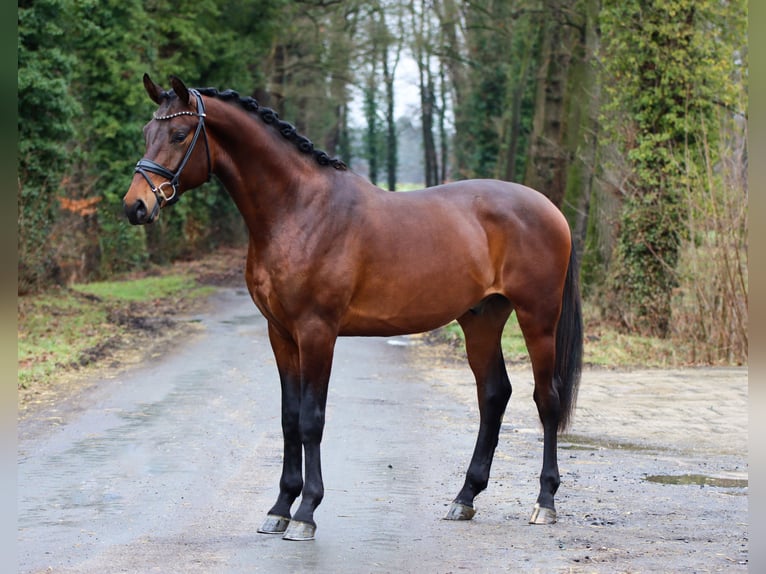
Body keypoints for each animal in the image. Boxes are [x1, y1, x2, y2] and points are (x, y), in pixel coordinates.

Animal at [124, 74, 583, 541]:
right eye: (146, 132)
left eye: (180, 134)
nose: (136, 206)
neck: (299, 210)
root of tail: (550, 209)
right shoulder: (280, 333)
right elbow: (289, 418)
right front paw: (280, 507)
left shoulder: (317, 332)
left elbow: (311, 419)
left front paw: (306, 512)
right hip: (482, 319)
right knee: (493, 394)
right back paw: (465, 498)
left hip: (538, 318)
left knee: (546, 399)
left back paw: (545, 502)